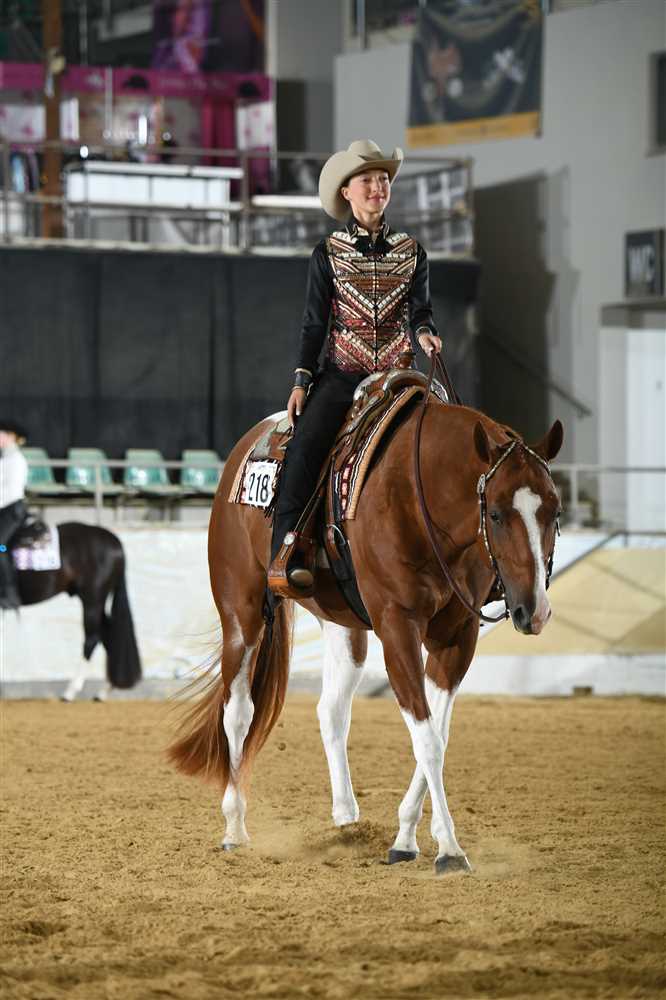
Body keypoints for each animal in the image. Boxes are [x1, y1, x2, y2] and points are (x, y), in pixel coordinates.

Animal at [14, 522, 142, 702]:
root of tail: (115, 541)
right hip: (93, 601)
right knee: (109, 635)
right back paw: (104, 691)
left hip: (93, 599)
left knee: (92, 639)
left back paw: (70, 692)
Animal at [168, 383, 563, 874]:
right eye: (495, 514)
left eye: (554, 510)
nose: (534, 610)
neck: (417, 496)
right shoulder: (397, 626)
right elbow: (427, 739)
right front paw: (450, 849)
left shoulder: (458, 636)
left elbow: (437, 736)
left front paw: (407, 839)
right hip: (240, 611)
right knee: (238, 712)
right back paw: (234, 828)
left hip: (342, 626)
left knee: (332, 710)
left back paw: (346, 820)